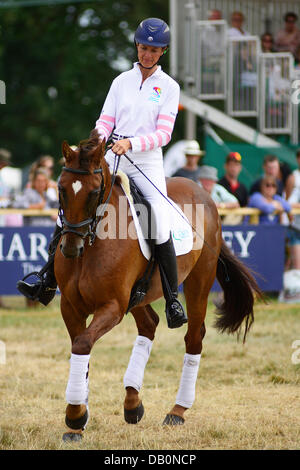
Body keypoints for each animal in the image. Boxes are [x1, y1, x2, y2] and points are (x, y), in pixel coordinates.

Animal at [56, 136, 262, 440]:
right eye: (61, 189)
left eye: (94, 193)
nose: (71, 248)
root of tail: (202, 192)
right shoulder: (70, 307)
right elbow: (80, 349)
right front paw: (80, 416)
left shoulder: (112, 307)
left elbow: (82, 344)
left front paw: (74, 416)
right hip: (138, 297)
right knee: (149, 325)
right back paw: (133, 403)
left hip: (198, 281)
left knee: (193, 338)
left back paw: (177, 410)